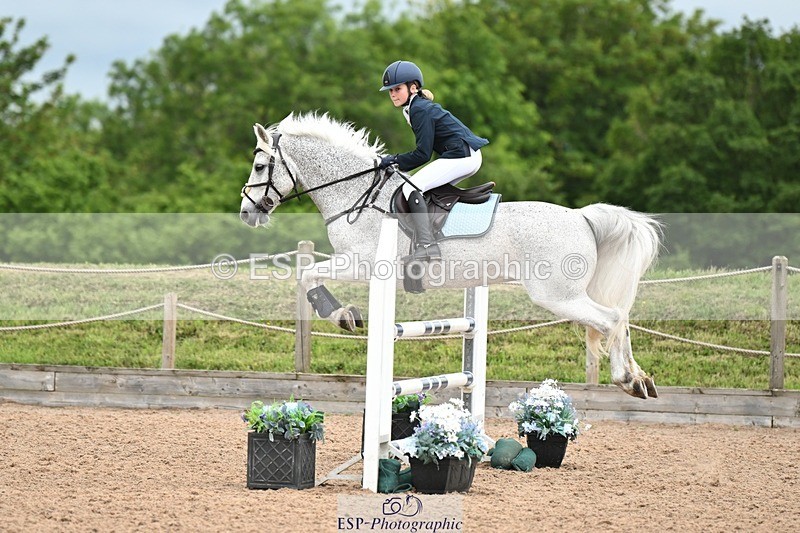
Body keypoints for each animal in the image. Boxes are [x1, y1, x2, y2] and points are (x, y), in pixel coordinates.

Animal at [239, 112, 662, 399]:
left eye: (260, 165)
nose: (246, 212)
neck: (355, 193)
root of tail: (582, 217)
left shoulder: (362, 264)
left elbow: (307, 275)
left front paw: (342, 316)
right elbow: (308, 274)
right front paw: (345, 314)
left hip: (558, 295)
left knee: (611, 319)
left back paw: (626, 379)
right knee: (620, 318)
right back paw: (641, 379)